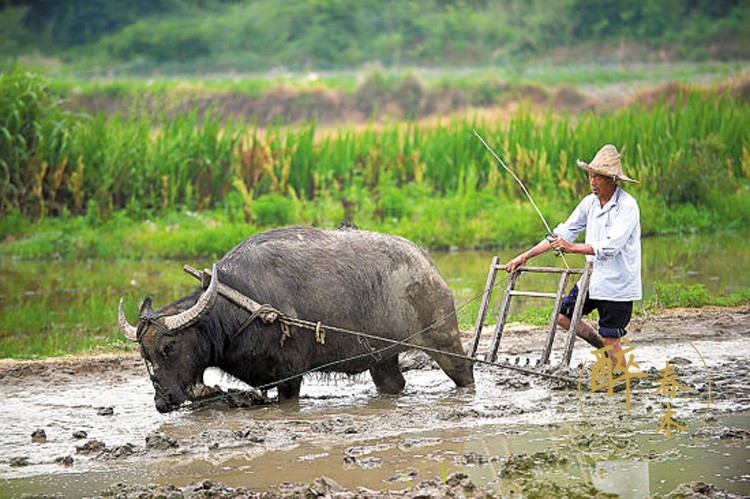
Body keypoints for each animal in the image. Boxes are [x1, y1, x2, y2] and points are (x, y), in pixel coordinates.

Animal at [119, 228, 476, 414]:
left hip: (444, 340)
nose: (162, 401)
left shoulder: (289, 376)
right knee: (393, 383)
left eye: (168, 347)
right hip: (383, 358)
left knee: (465, 372)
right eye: (144, 353)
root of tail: (427, 265)